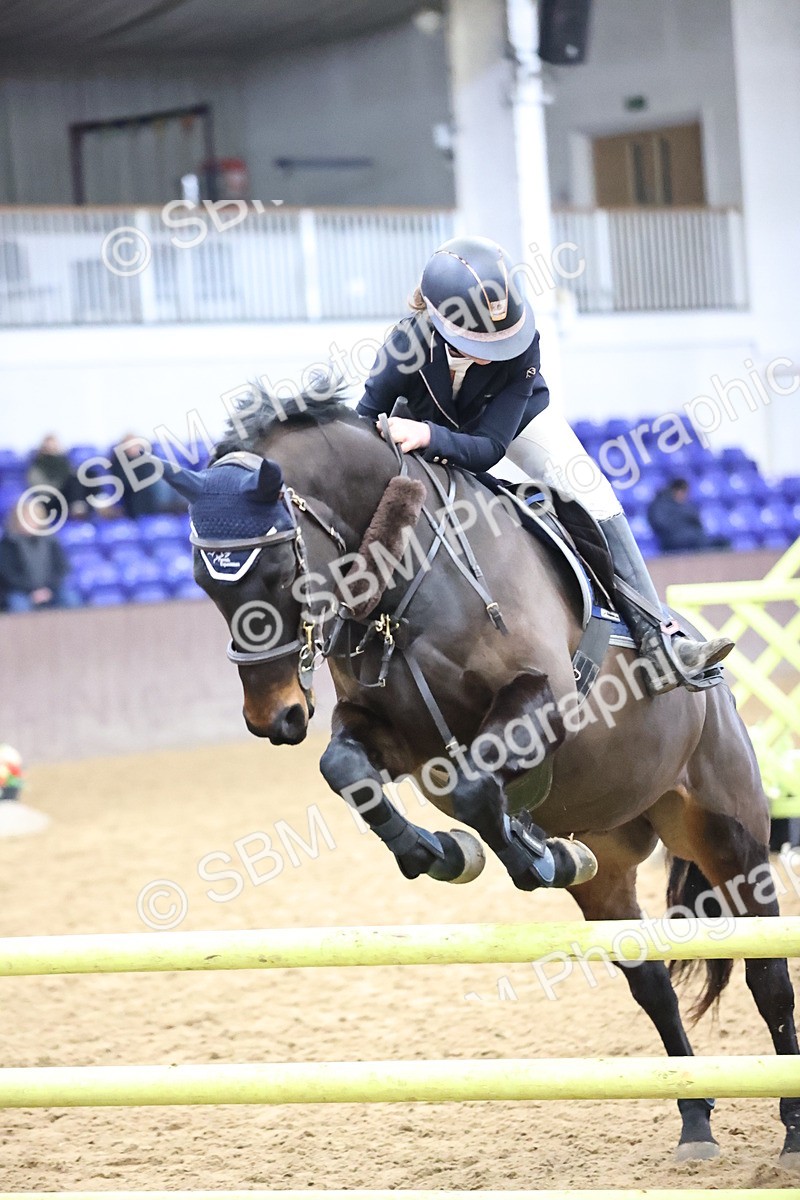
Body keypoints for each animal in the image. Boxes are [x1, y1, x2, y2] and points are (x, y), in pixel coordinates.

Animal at [165, 385, 799, 1166]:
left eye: (280, 573)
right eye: (204, 582)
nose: (274, 716)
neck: (403, 582)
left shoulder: (541, 702)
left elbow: (475, 787)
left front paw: (527, 854)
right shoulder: (389, 733)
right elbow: (348, 769)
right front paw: (442, 854)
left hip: (730, 832)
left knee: (768, 974)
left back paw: (792, 1129)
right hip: (613, 865)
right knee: (650, 981)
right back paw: (695, 1121)